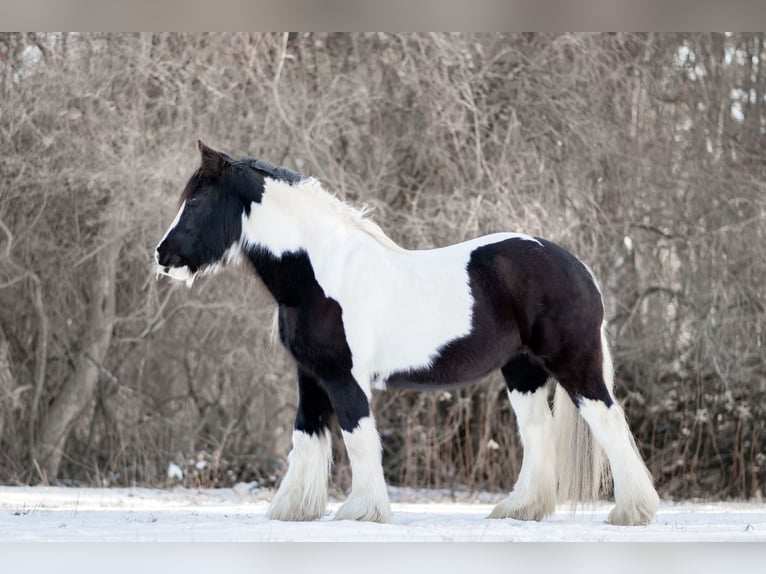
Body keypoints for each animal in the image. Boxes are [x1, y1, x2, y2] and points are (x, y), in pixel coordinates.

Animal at [155, 140, 660, 525]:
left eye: (196, 201)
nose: (162, 255)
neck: (320, 272)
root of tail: (579, 268)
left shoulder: (344, 377)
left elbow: (358, 437)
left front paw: (362, 511)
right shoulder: (311, 376)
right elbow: (306, 438)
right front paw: (292, 510)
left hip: (574, 365)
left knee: (610, 423)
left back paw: (631, 512)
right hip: (523, 372)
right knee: (537, 432)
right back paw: (521, 509)